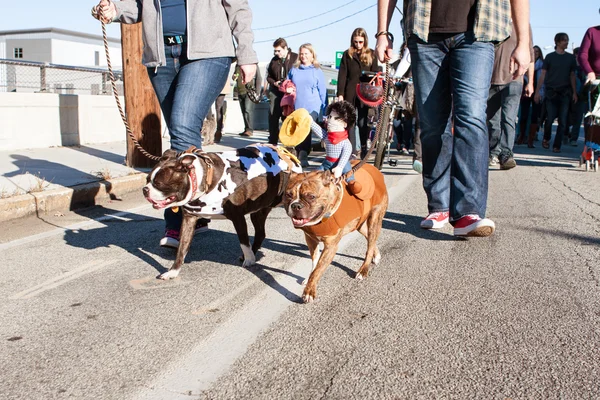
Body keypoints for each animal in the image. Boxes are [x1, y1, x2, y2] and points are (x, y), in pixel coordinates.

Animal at [282, 162, 390, 304]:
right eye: (288, 195)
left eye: (311, 196)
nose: (296, 205)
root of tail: (374, 169)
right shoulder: (311, 240)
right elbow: (315, 262)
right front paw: (309, 279)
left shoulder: (331, 247)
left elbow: (318, 269)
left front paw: (309, 291)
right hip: (359, 224)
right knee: (370, 239)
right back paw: (376, 255)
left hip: (375, 218)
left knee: (370, 244)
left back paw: (363, 270)